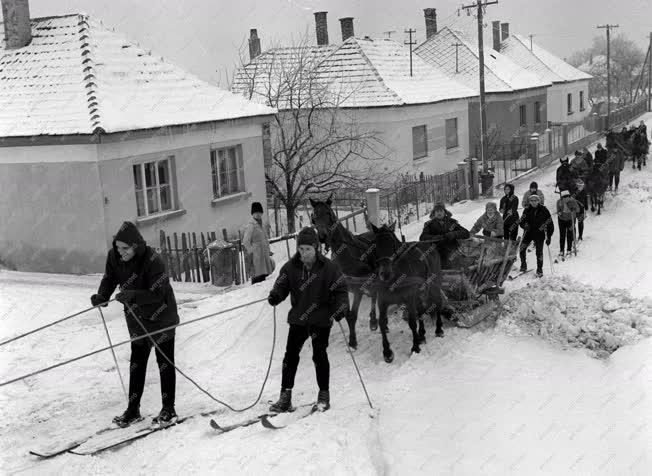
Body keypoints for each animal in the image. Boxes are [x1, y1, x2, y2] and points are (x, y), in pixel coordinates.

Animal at [310, 194, 376, 350]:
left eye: (329, 213)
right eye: (314, 216)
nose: (322, 236)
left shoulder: (358, 287)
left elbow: (352, 315)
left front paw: (353, 340)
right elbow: (347, 315)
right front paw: (352, 341)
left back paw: (373, 320)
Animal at [366, 221, 444, 362]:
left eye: (391, 242)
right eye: (375, 244)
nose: (385, 273)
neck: (394, 277)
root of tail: (430, 245)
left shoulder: (408, 298)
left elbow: (412, 322)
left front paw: (415, 347)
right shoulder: (383, 301)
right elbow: (382, 323)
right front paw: (387, 353)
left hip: (434, 284)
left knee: (437, 303)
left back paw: (438, 329)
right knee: (420, 310)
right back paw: (422, 335)